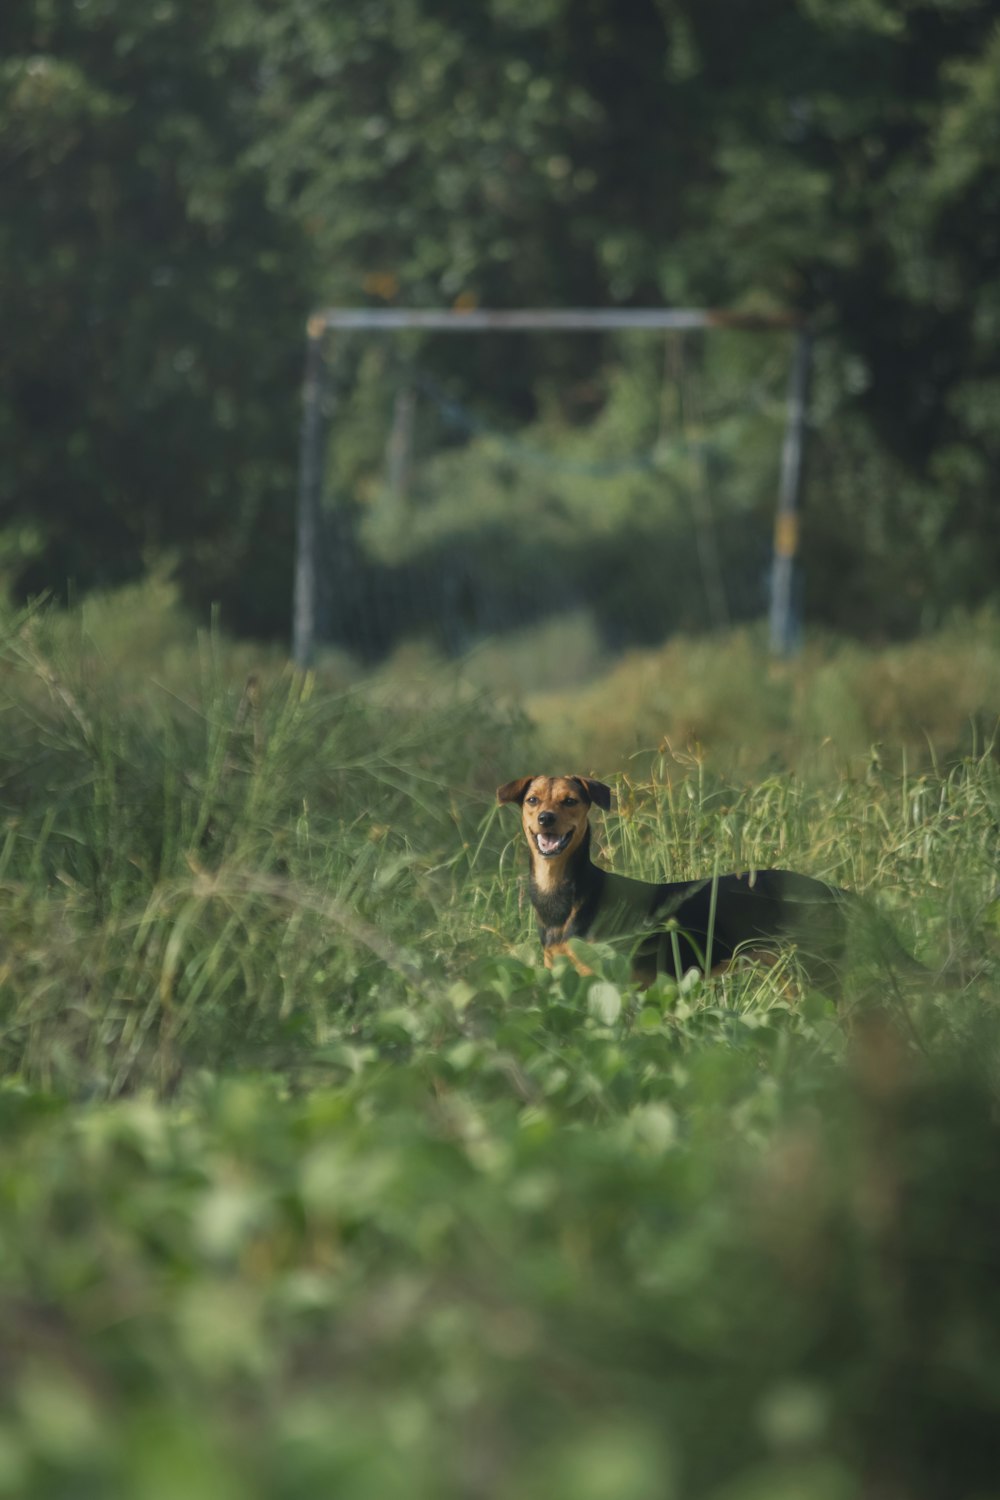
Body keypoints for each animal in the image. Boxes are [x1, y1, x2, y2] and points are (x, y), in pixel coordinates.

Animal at [497, 780, 857, 990]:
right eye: (532, 800)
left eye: (570, 801)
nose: (545, 818)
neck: (565, 898)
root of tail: (833, 892)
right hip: (790, 975)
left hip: (817, 973)